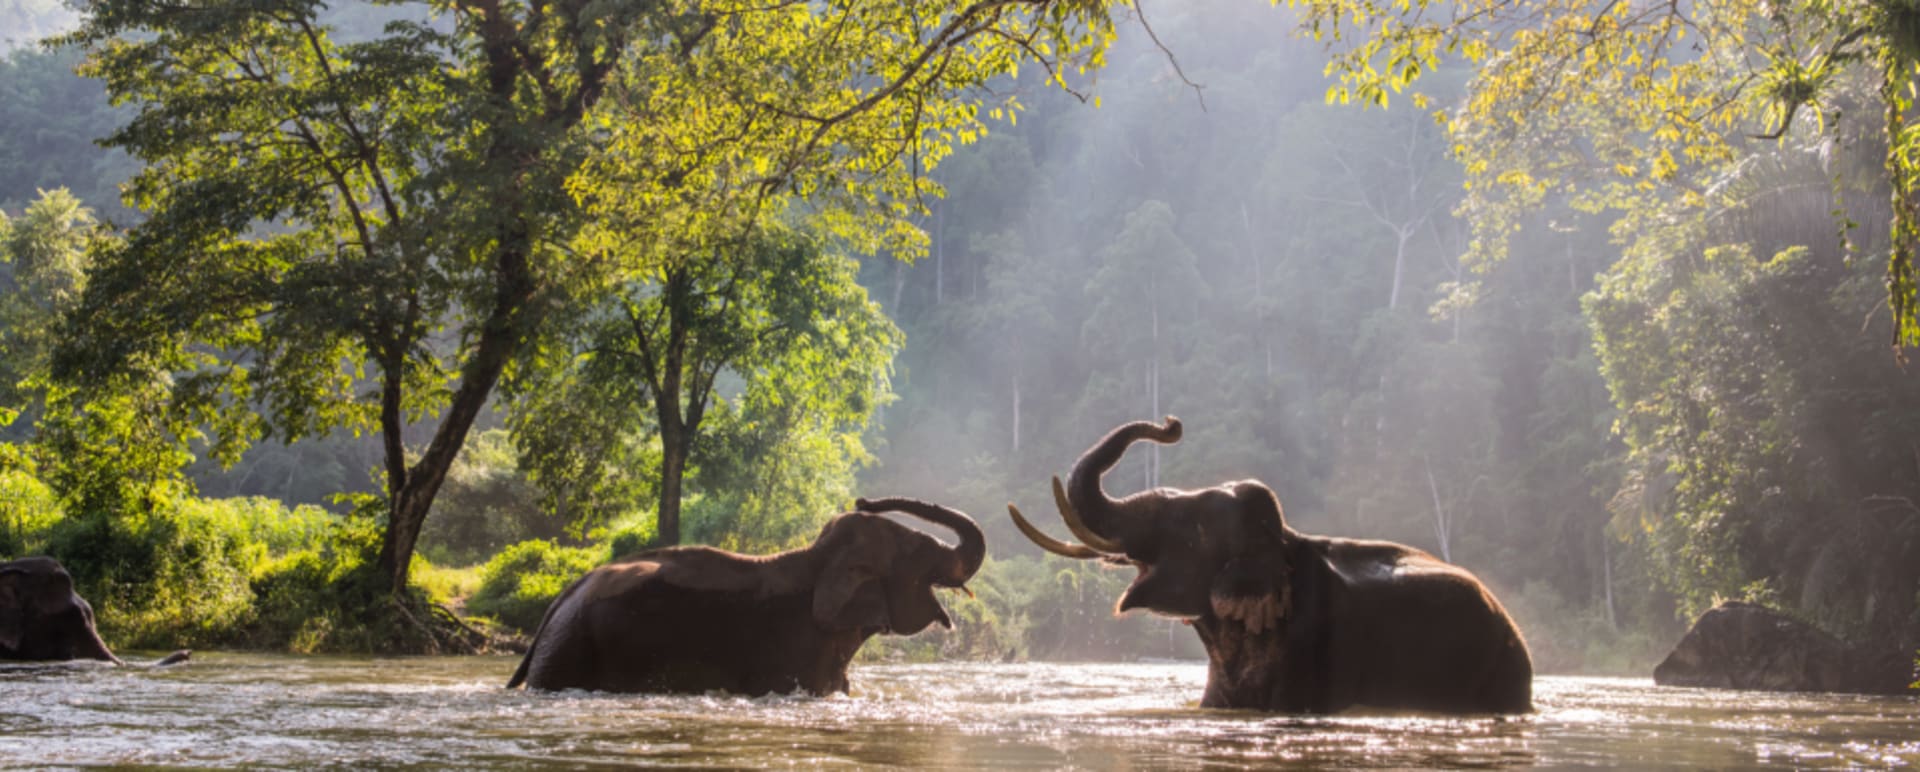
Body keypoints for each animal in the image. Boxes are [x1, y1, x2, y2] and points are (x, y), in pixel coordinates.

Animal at [507, 496, 984, 695]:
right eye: (919, 551)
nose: (863, 499)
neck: (816, 558)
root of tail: (560, 599)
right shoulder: (792, 649)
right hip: (570, 651)